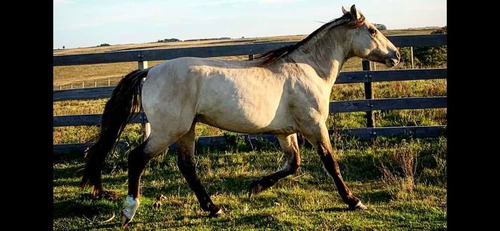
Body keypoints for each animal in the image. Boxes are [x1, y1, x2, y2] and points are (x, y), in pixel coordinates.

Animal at [80, 4, 400, 227]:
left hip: (187, 130)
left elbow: (293, 164)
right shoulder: (313, 125)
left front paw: (255, 187)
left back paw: (214, 208)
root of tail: (150, 72)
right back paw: (129, 211)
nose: (395, 54)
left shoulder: (286, 132)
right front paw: (354, 201)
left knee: (187, 166)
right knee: (137, 158)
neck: (308, 69)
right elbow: (330, 163)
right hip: (167, 130)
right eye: (372, 30)